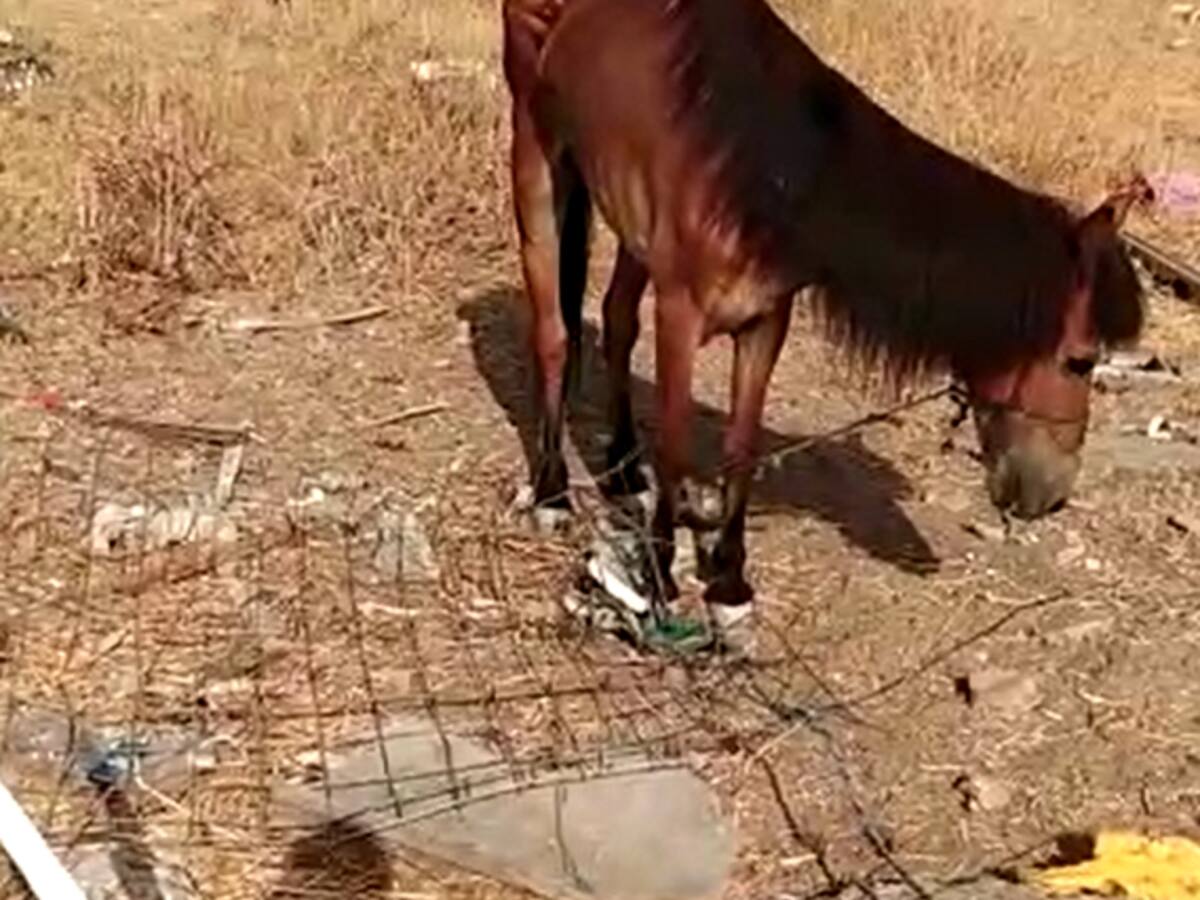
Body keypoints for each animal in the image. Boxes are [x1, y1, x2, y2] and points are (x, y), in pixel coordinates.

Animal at [501, 0, 1148, 650]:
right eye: (1080, 360)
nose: (1052, 496)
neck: (767, 177)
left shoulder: (765, 323)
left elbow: (741, 445)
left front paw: (728, 586)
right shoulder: (680, 314)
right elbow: (678, 442)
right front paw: (659, 577)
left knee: (615, 318)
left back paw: (624, 469)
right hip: (535, 142)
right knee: (554, 332)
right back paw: (552, 490)